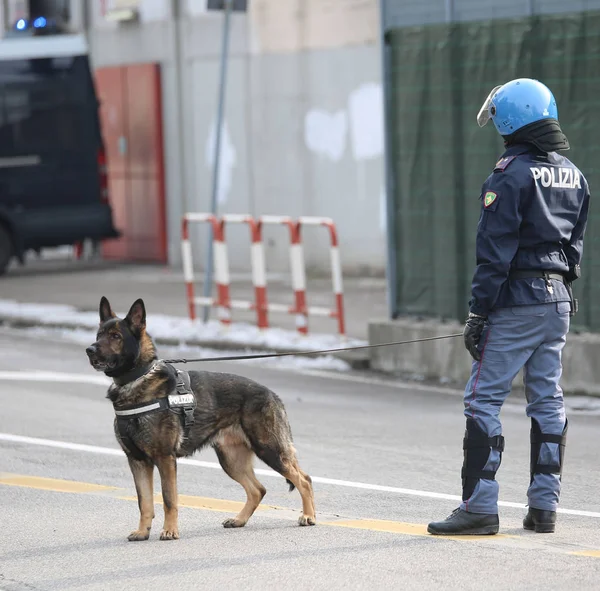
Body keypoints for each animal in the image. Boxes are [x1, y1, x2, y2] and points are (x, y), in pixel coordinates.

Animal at [86, 296, 316, 540]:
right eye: (99, 334)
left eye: (115, 336)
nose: (89, 350)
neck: (137, 379)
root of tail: (273, 394)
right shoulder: (137, 461)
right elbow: (144, 501)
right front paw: (142, 532)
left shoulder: (165, 459)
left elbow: (169, 499)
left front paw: (170, 531)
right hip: (231, 460)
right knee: (258, 490)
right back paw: (239, 520)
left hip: (269, 450)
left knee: (304, 479)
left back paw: (308, 516)